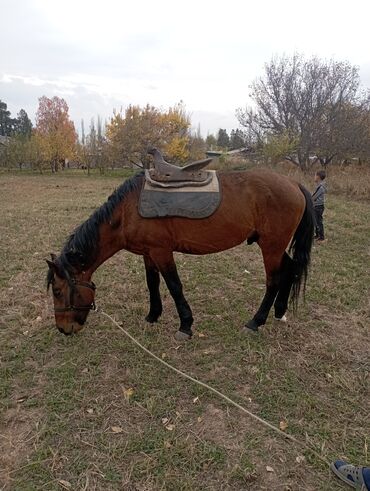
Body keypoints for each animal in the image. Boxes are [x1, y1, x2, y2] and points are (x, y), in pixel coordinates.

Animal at [47, 169, 316, 338]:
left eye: (58, 291)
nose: (63, 329)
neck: (127, 211)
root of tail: (294, 184)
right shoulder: (148, 253)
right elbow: (153, 283)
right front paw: (153, 315)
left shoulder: (162, 251)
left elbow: (174, 286)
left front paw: (185, 325)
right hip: (275, 246)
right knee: (290, 270)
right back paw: (279, 312)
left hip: (271, 247)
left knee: (273, 281)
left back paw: (256, 321)